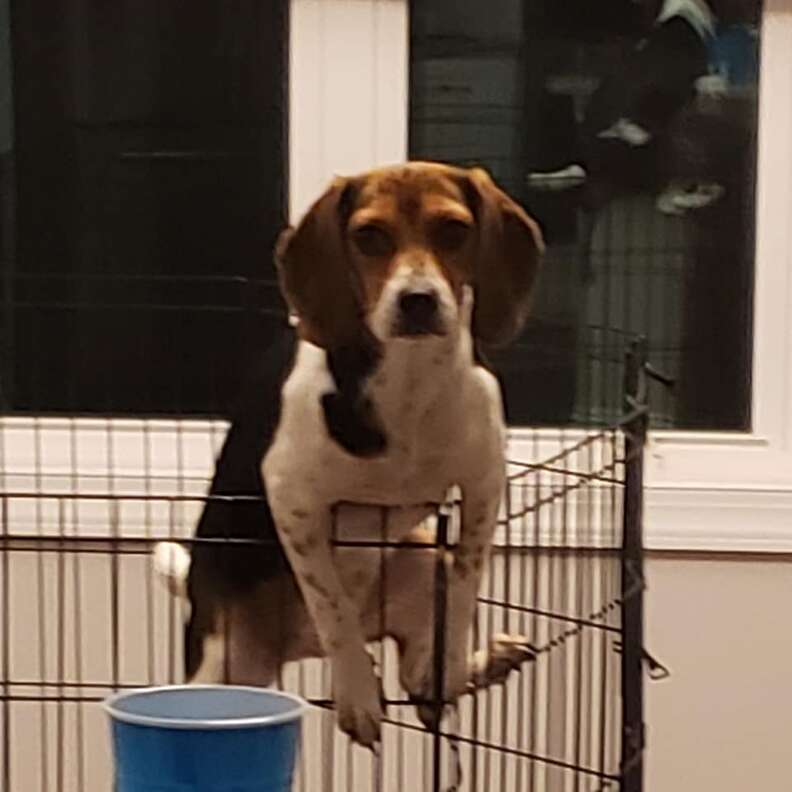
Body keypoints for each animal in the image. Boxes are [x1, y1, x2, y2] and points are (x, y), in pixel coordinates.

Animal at [154, 162, 540, 748]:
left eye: (454, 230)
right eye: (369, 236)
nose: (418, 299)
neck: (407, 380)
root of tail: (297, 647)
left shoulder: (483, 483)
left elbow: (466, 584)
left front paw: (452, 665)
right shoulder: (293, 499)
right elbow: (333, 606)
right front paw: (357, 695)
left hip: (421, 556)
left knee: (419, 679)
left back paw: (481, 664)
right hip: (223, 660)